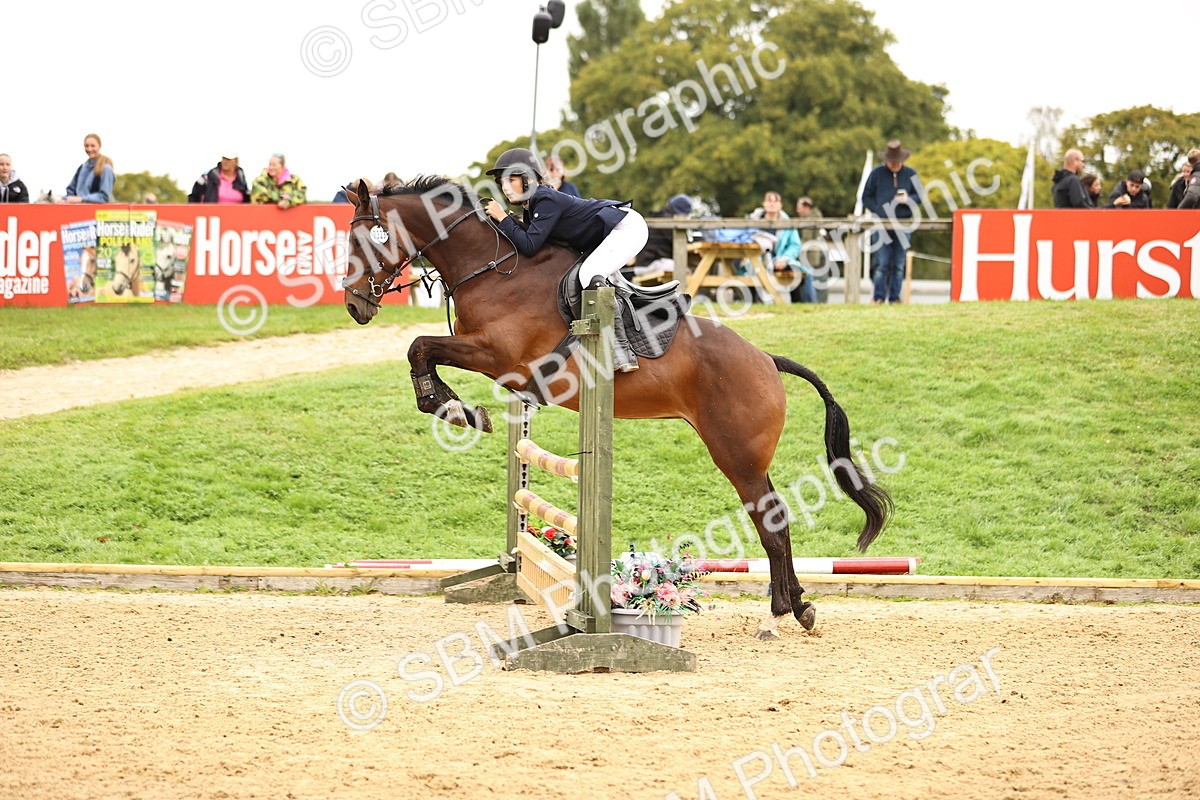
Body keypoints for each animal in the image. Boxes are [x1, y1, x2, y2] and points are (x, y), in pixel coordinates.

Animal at [341, 177, 892, 639]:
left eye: (366, 241)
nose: (354, 305)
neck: (495, 269)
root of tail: (766, 360)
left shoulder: (499, 357)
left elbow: (419, 346)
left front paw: (452, 409)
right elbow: (422, 350)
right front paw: (456, 408)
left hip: (737, 455)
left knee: (771, 522)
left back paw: (784, 613)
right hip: (742, 455)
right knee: (773, 520)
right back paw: (794, 606)